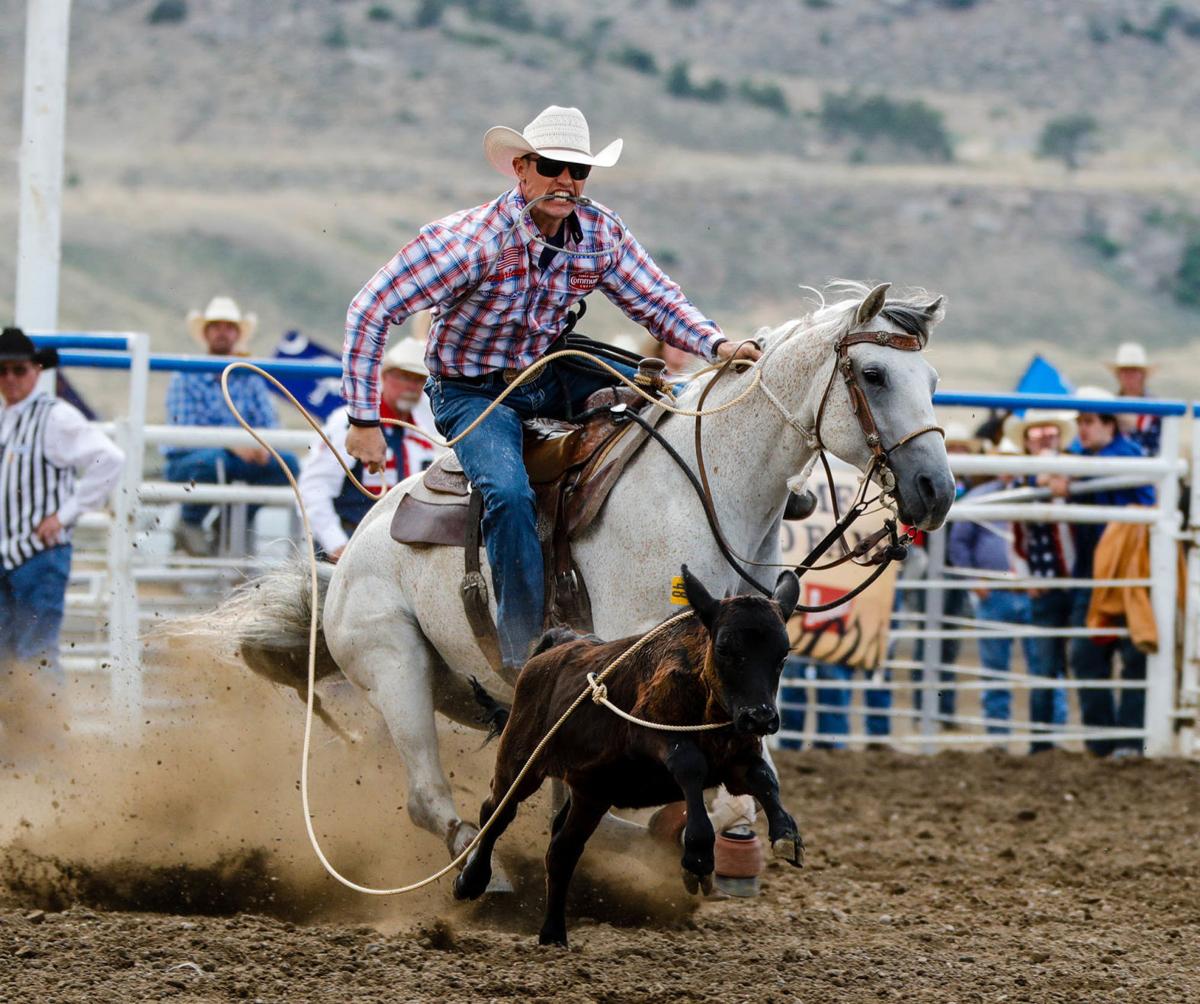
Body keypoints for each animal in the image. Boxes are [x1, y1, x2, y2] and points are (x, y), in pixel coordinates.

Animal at [234, 284, 955, 868]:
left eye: (933, 379)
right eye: (873, 373)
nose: (937, 490)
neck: (704, 489)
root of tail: (350, 555)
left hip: (461, 685)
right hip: (395, 664)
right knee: (424, 793)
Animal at [453, 568, 801, 945]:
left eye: (783, 654)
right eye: (724, 647)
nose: (760, 717)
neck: (705, 704)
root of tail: (558, 645)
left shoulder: (737, 760)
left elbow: (764, 779)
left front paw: (786, 833)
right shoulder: (650, 734)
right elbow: (689, 765)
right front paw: (697, 854)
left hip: (593, 792)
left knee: (562, 851)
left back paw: (553, 933)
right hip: (521, 761)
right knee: (497, 812)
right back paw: (471, 881)